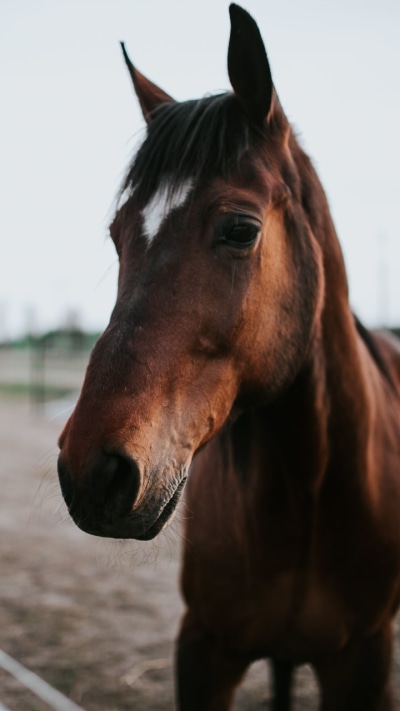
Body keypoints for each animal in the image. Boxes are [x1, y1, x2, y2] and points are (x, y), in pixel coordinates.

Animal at [57, 4, 400, 709]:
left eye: (241, 229)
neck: (309, 484)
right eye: (117, 235)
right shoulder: (205, 650)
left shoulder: (366, 658)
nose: (91, 472)